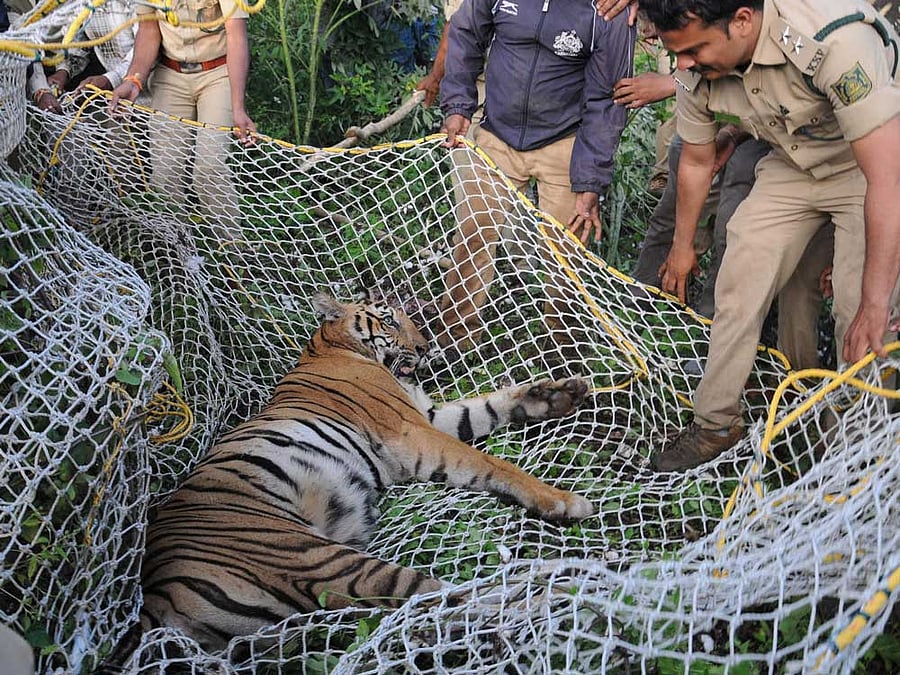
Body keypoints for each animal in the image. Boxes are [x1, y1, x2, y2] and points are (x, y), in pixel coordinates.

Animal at [120, 292, 593, 658]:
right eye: (389, 319)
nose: (425, 347)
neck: (332, 345)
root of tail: (153, 596)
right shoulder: (412, 429)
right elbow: (492, 463)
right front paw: (562, 500)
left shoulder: (430, 417)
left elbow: (487, 406)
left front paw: (556, 395)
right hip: (318, 558)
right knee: (457, 599)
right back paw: (575, 595)